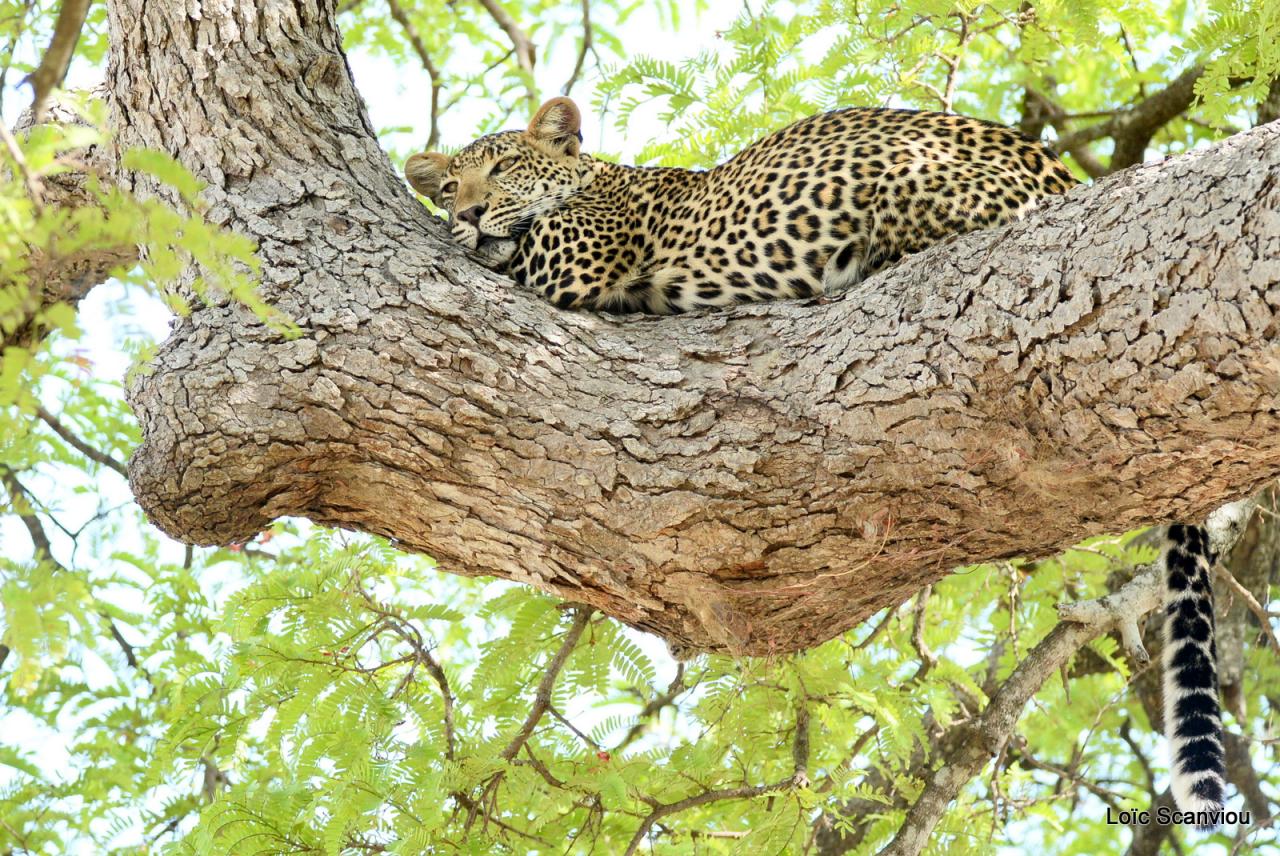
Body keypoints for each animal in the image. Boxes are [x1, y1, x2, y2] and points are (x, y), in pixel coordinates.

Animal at [404, 95, 1075, 313]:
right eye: (449, 189)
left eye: (505, 168)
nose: (466, 213)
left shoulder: (573, 255)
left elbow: (520, 246)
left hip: (897, 174)